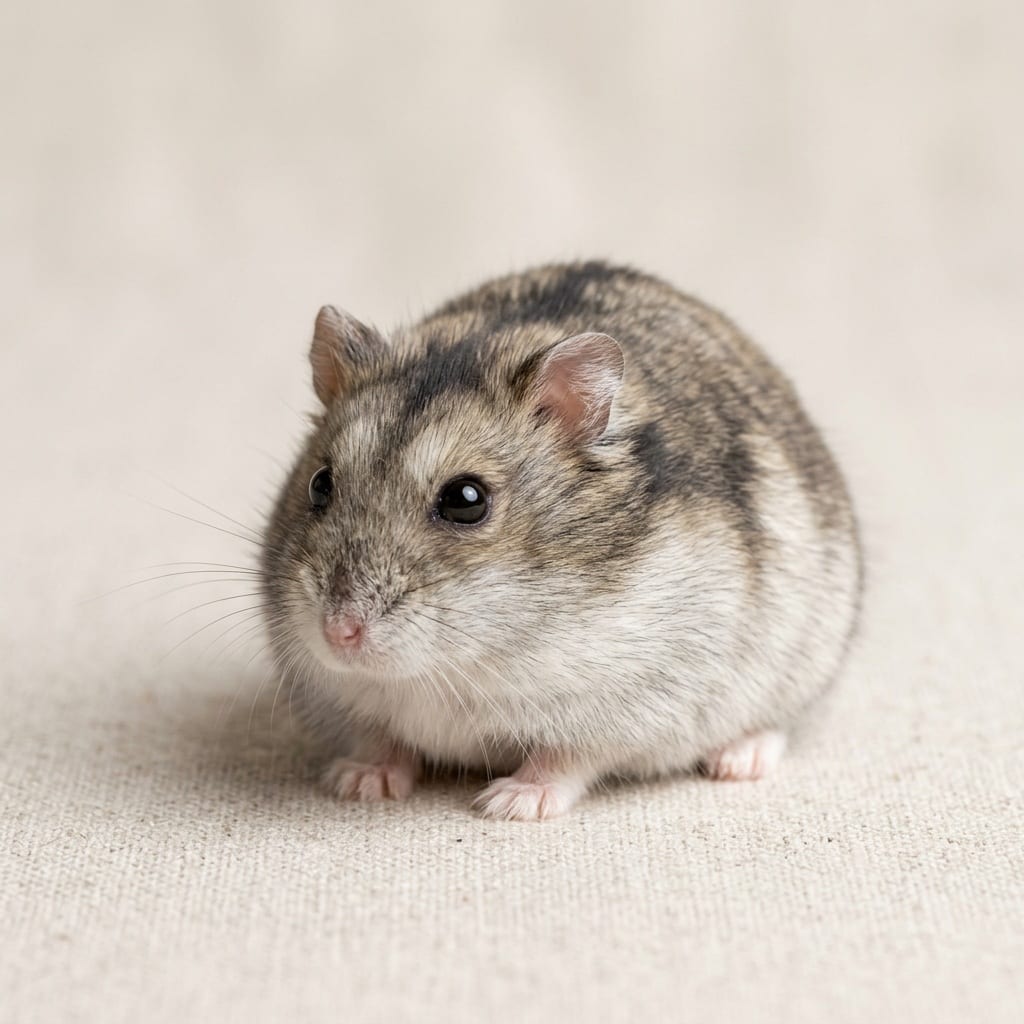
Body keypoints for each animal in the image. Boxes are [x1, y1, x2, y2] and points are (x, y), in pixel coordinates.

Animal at [262, 261, 862, 821]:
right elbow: (381, 738)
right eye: (319, 483)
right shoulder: (350, 699)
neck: (453, 665)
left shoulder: (622, 708)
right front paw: (359, 782)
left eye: (466, 499)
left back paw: (737, 761)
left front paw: (509, 804)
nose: (338, 633)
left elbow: (565, 759)